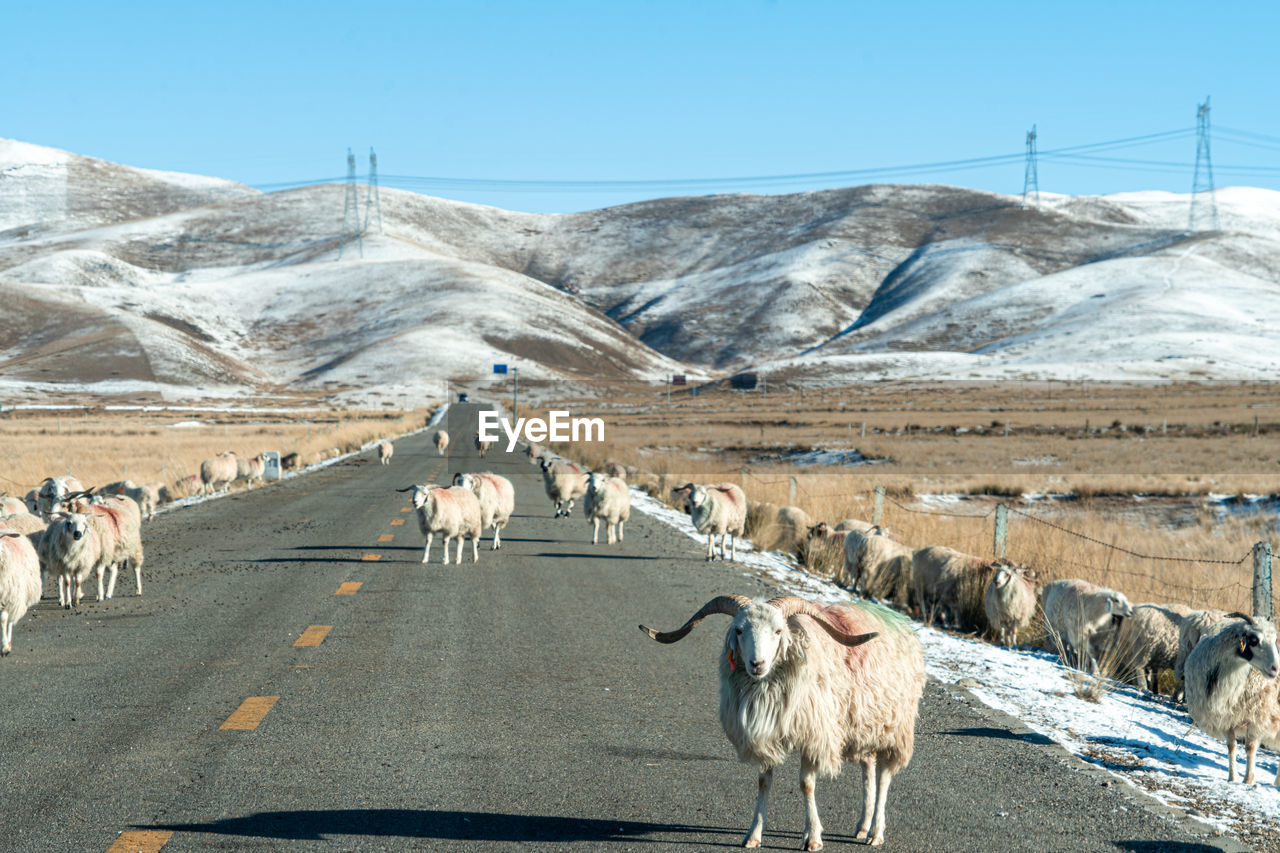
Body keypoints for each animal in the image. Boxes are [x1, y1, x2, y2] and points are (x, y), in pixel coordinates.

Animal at [645, 591, 926, 845]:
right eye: (739, 630)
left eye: (779, 631)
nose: (756, 664)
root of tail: (898, 619)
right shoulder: (765, 734)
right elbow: (763, 783)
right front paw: (753, 835)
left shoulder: (813, 735)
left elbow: (806, 785)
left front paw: (813, 837)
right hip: (864, 723)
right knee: (868, 769)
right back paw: (862, 826)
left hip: (895, 725)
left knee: (883, 776)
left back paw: (876, 832)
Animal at [1177, 612, 1280, 783]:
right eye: (1254, 640)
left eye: (1275, 639)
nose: (1275, 669)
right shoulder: (1225, 717)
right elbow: (1231, 746)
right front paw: (1232, 777)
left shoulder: (1257, 716)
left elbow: (1250, 748)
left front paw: (1248, 780)